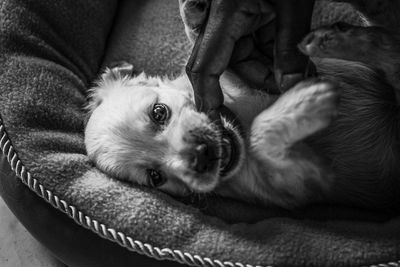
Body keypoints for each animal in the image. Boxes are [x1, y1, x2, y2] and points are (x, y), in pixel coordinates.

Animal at [84, 0, 400, 209]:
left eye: (159, 113)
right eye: (155, 177)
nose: (202, 156)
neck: (240, 125)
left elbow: (210, 44)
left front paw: (197, 13)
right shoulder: (306, 183)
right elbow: (262, 135)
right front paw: (307, 102)